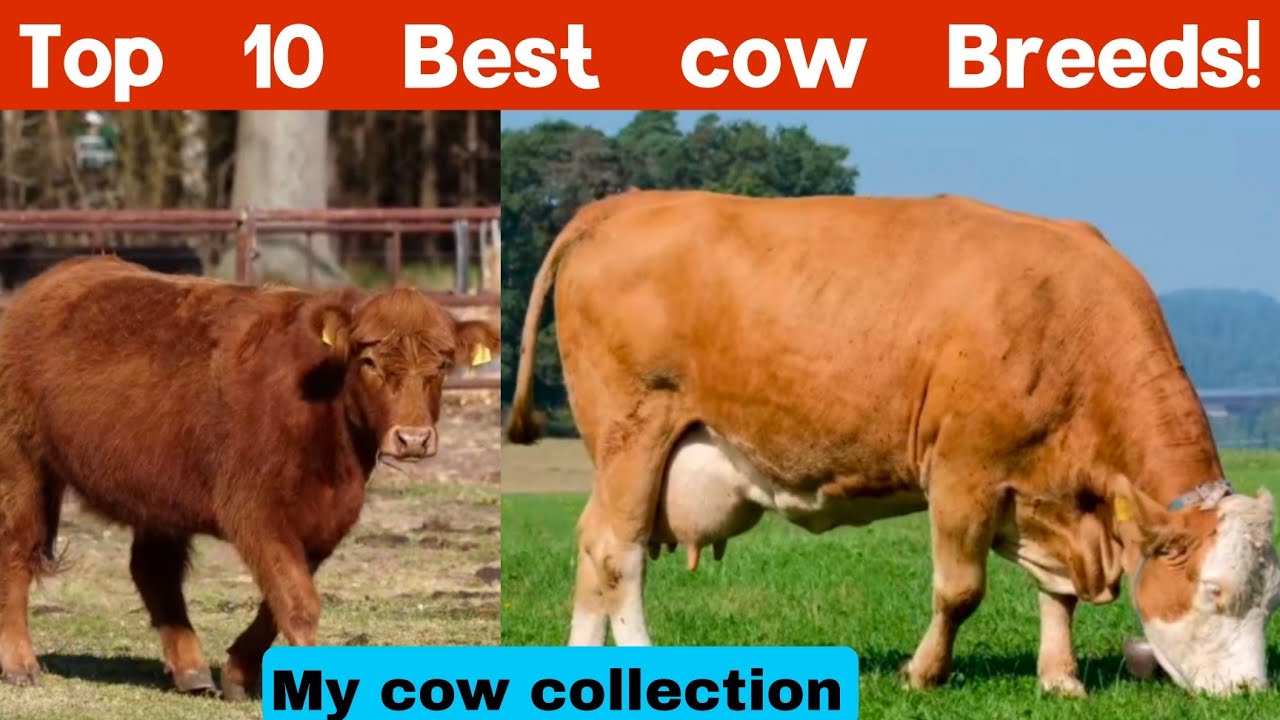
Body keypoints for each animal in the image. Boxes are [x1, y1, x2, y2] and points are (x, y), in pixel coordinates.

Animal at [0, 255, 499, 698]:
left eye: (442, 366)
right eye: (370, 362)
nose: (413, 439)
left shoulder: (322, 523)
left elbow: (280, 603)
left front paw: (238, 674)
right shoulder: (257, 511)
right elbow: (298, 603)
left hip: (157, 495)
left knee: (152, 570)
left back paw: (191, 671)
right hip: (22, 466)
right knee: (16, 552)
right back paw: (21, 665)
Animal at [506, 189, 1280, 697]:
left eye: (1269, 602)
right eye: (1213, 591)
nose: (1249, 693)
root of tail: (622, 204)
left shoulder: (1045, 491)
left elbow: (1054, 593)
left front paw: (1060, 680)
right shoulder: (965, 470)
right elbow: (960, 590)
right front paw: (923, 674)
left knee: (593, 548)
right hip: (634, 432)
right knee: (620, 553)